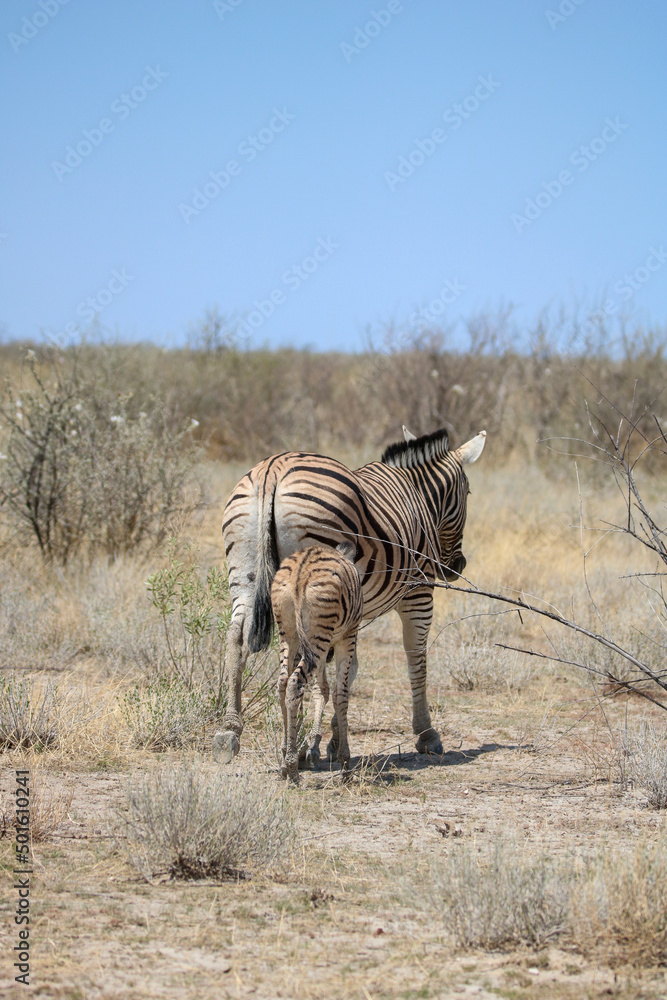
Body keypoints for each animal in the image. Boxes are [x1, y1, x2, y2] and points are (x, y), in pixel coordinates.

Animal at [271, 541, 363, 783]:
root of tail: (300, 570)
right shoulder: (347, 637)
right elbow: (340, 694)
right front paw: (345, 764)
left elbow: (322, 689)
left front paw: (313, 746)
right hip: (318, 637)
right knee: (295, 684)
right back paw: (292, 768)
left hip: (290, 633)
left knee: (283, 683)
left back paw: (285, 759)